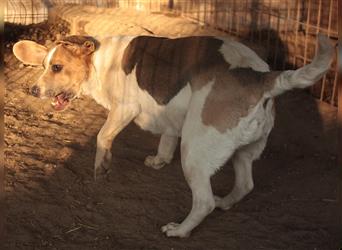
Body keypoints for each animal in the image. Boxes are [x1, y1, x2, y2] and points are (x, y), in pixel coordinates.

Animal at [11, 34, 334, 237]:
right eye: (43, 66)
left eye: (57, 67)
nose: (33, 91)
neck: (100, 61)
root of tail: (261, 78)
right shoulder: (168, 116)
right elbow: (166, 141)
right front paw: (159, 161)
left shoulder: (124, 108)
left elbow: (103, 137)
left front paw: (101, 168)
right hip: (244, 152)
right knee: (245, 185)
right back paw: (225, 203)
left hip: (194, 155)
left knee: (203, 202)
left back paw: (180, 230)